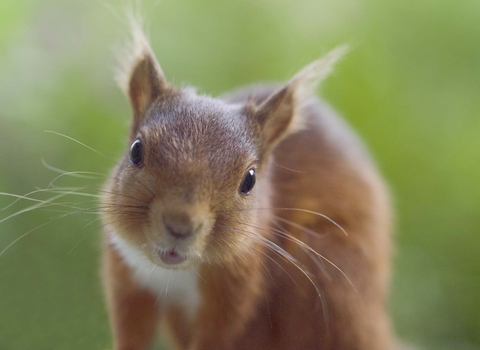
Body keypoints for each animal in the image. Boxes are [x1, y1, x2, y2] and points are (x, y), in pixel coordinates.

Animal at [101, 21, 394, 350]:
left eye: (250, 180)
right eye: (136, 151)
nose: (179, 226)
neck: (176, 273)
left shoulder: (238, 289)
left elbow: (219, 334)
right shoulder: (126, 273)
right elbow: (130, 328)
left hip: (328, 279)